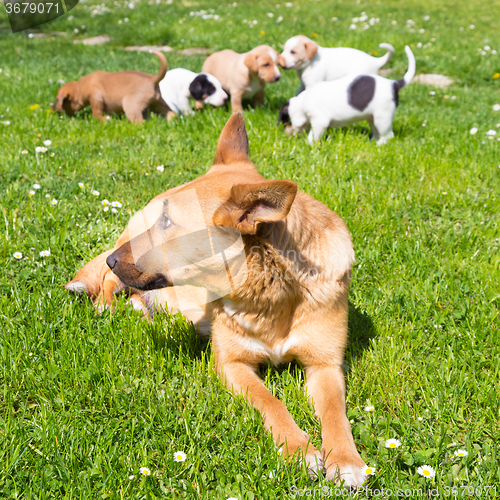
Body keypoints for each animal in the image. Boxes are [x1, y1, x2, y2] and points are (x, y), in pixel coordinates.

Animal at [66, 114, 370, 488]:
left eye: (168, 221)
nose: (112, 260)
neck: (269, 291)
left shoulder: (324, 364)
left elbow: (335, 412)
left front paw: (345, 459)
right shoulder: (232, 364)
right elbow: (271, 402)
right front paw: (299, 448)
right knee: (111, 282)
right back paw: (107, 304)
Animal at [280, 45, 416, 145]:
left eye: (285, 122)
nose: (284, 136)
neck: (302, 102)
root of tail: (394, 84)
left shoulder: (319, 121)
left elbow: (313, 136)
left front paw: (308, 144)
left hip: (382, 118)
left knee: (388, 135)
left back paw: (379, 145)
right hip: (372, 118)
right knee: (377, 132)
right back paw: (371, 142)